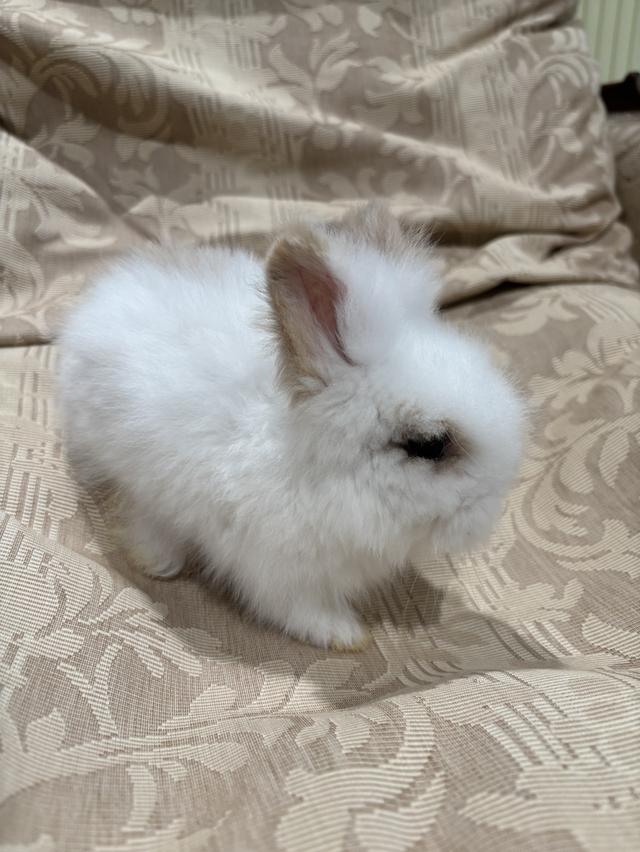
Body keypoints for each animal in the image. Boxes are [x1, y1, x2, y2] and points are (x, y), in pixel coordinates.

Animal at [57, 202, 524, 650]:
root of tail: (101, 295)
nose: (492, 509)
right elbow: (299, 610)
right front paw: (345, 636)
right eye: (429, 444)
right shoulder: (277, 570)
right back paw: (158, 561)